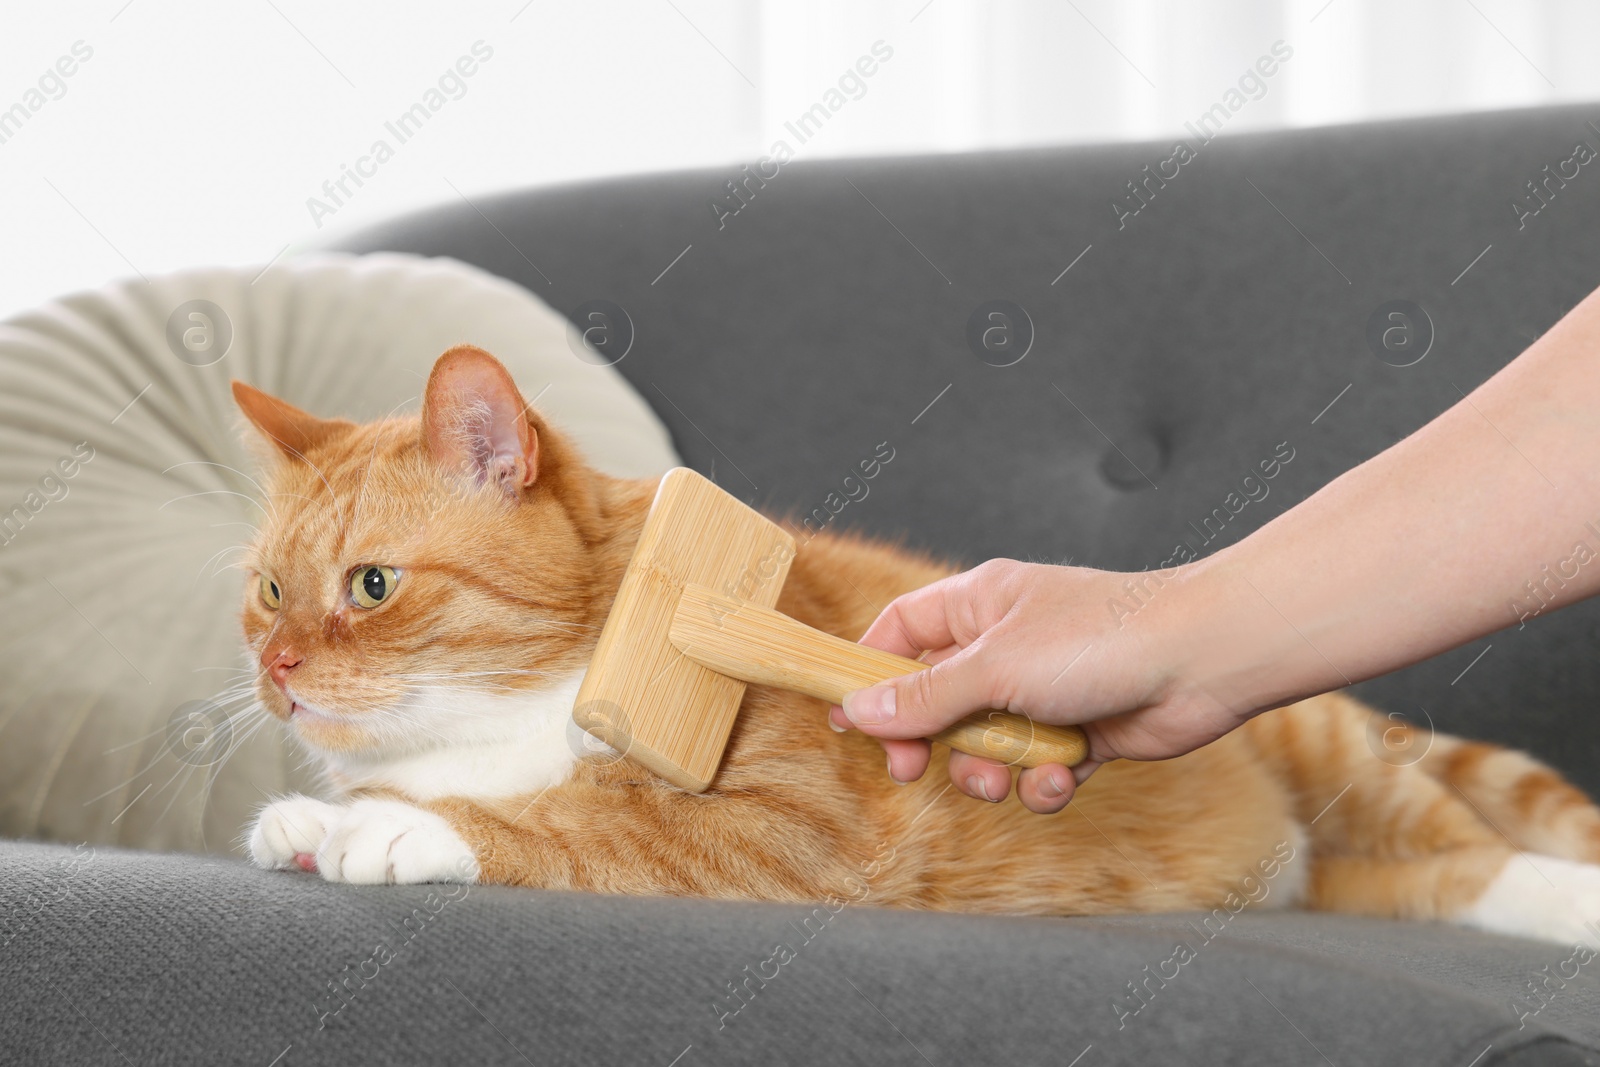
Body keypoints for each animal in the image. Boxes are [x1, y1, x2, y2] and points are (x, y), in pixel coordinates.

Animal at [236, 347, 1600, 947]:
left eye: (370, 585)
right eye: (266, 593)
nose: (279, 671)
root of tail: (1288, 862)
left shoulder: (791, 825)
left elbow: (587, 819)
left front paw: (397, 825)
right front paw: (318, 816)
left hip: (1340, 751)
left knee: (1477, 854)